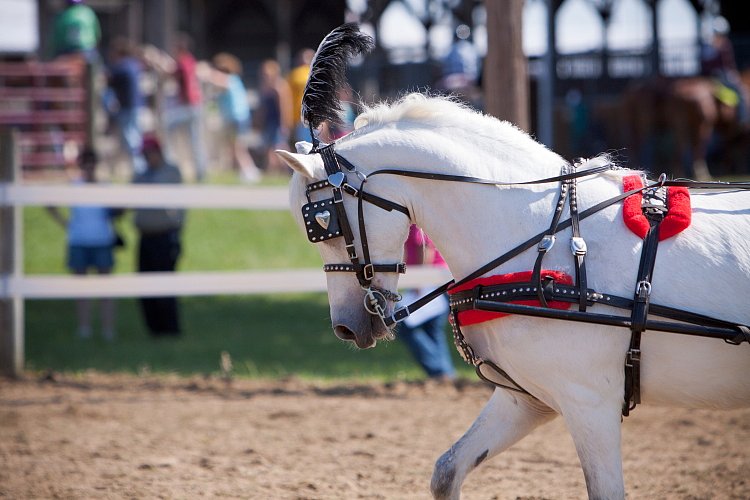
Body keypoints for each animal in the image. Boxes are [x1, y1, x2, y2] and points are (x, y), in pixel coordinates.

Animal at [280, 93, 750, 496]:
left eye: (322, 222)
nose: (345, 326)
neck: (544, 237)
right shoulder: (527, 398)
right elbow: (447, 470)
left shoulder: (590, 402)